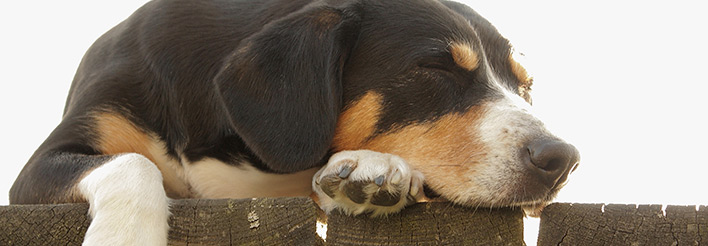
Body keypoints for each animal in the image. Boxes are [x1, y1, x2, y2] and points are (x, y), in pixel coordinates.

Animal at [8, 0, 580, 244]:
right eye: (436, 68)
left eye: (525, 85)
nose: (563, 158)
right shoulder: (37, 171)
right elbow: (132, 164)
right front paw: (123, 238)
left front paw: (371, 168)